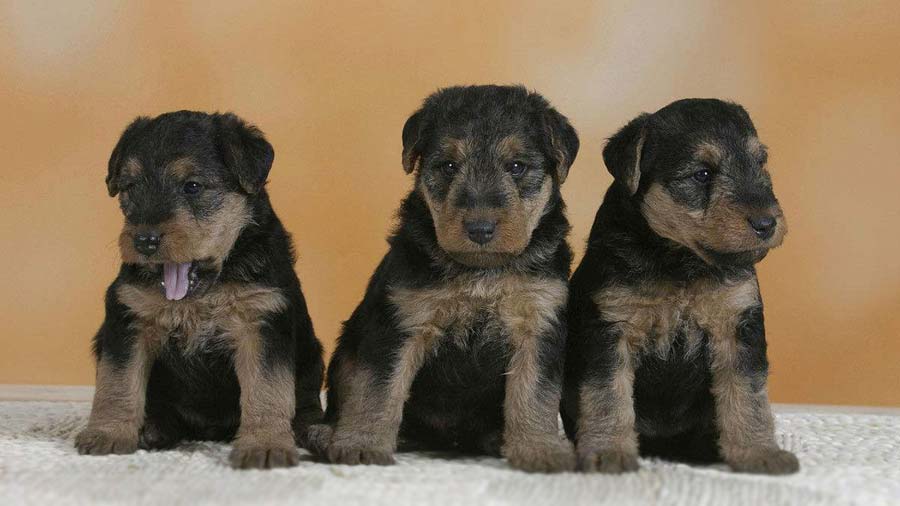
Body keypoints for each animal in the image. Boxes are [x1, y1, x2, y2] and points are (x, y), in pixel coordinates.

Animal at [75, 111, 326, 470]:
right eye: (130, 186)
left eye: (192, 186)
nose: (144, 241)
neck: (203, 290)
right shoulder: (128, 318)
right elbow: (117, 382)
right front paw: (107, 433)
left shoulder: (262, 322)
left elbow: (267, 389)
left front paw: (265, 446)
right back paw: (153, 429)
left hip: (311, 354)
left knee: (304, 401)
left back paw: (312, 429)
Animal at [306, 85, 580, 472]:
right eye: (448, 166)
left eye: (517, 166)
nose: (480, 229)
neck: (481, 270)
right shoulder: (401, 323)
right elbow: (376, 390)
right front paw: (361, 444)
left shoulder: (538, 325)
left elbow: (534, 395)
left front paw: (540, 449)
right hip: (347, 348)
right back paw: (327, 435)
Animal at [564, 99, 800, 474]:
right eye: (701, 174)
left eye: (760, 162)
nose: (766, 223)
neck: (681, 264)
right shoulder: (610, 328)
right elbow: (606, 396)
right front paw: (608, 452)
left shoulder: (738, 326)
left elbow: (748, 396)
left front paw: (759, 452)